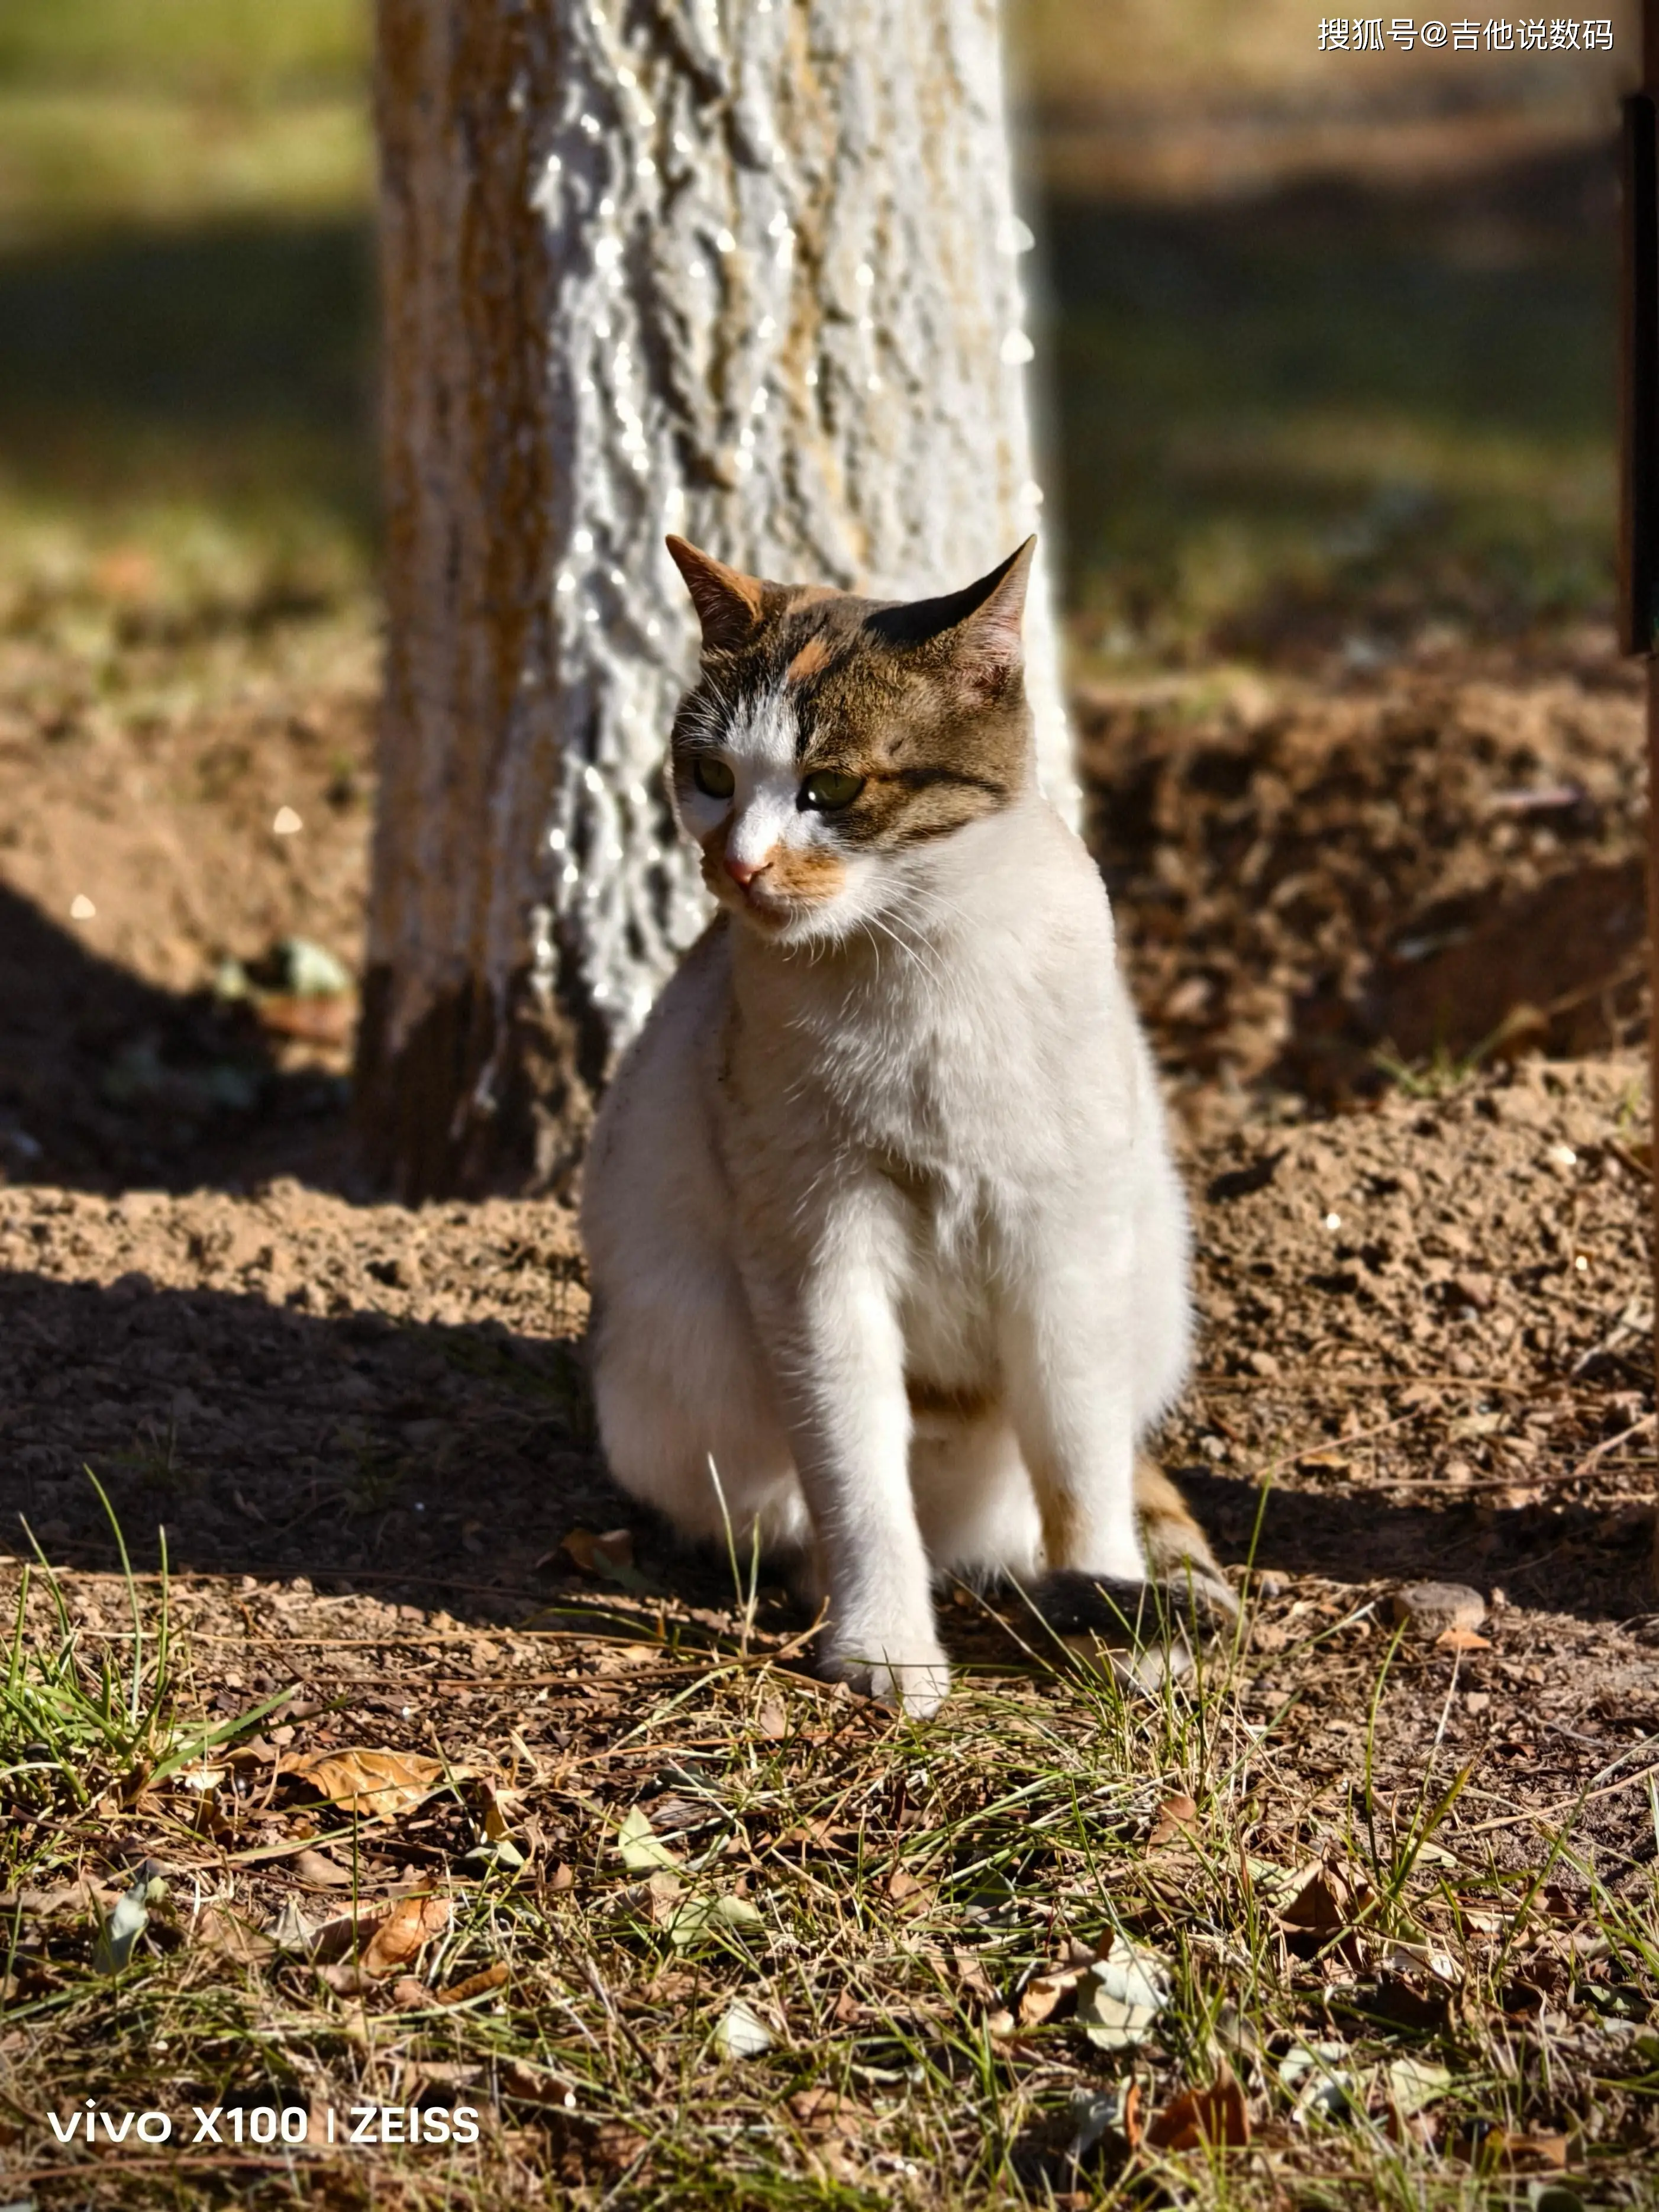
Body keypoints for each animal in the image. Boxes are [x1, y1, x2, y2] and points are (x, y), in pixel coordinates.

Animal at [584, 535, 1238, 1707]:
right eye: (712, 777)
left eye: (831, 786)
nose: (739, 864)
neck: (917, 952)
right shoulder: (816, 1254)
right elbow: (855, 1473)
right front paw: (884, 1646)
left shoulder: (1062, 1247)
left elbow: (1080, 1461)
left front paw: (1113, 1608)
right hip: (668, 1383)